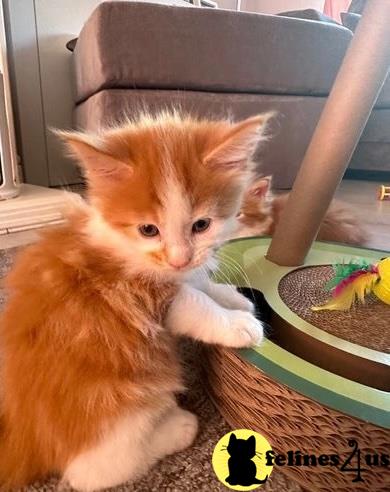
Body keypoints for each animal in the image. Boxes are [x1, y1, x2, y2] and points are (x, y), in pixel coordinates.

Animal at [0, 113, 268, 490]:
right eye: (148, 230)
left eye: (202, 225)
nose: (179, 259)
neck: (120, 244)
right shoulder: (136, 291)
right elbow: (194, 301)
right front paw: (238, 323)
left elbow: (199, 282)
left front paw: (233, 297)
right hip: (120, 401)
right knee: (92, 472)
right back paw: (179, 427)